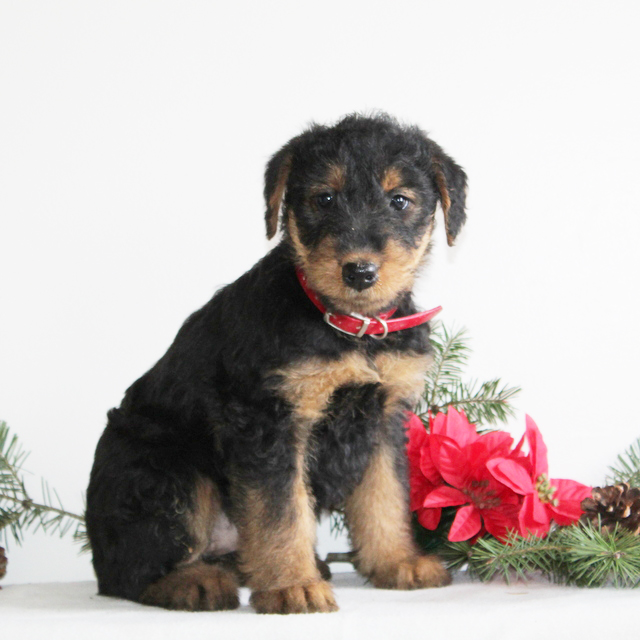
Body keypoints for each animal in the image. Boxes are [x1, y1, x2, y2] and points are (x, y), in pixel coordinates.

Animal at [85, 112, 468, 612]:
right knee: (129, 571)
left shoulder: (383, 422)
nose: (359, 272)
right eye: (324, 198)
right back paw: (196, 583)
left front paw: (397, 562)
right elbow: (280, 512)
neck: (349, 328)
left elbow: (385, 497)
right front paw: (292, 586)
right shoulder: (268, 421)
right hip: (170, 473)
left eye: (399, 200)